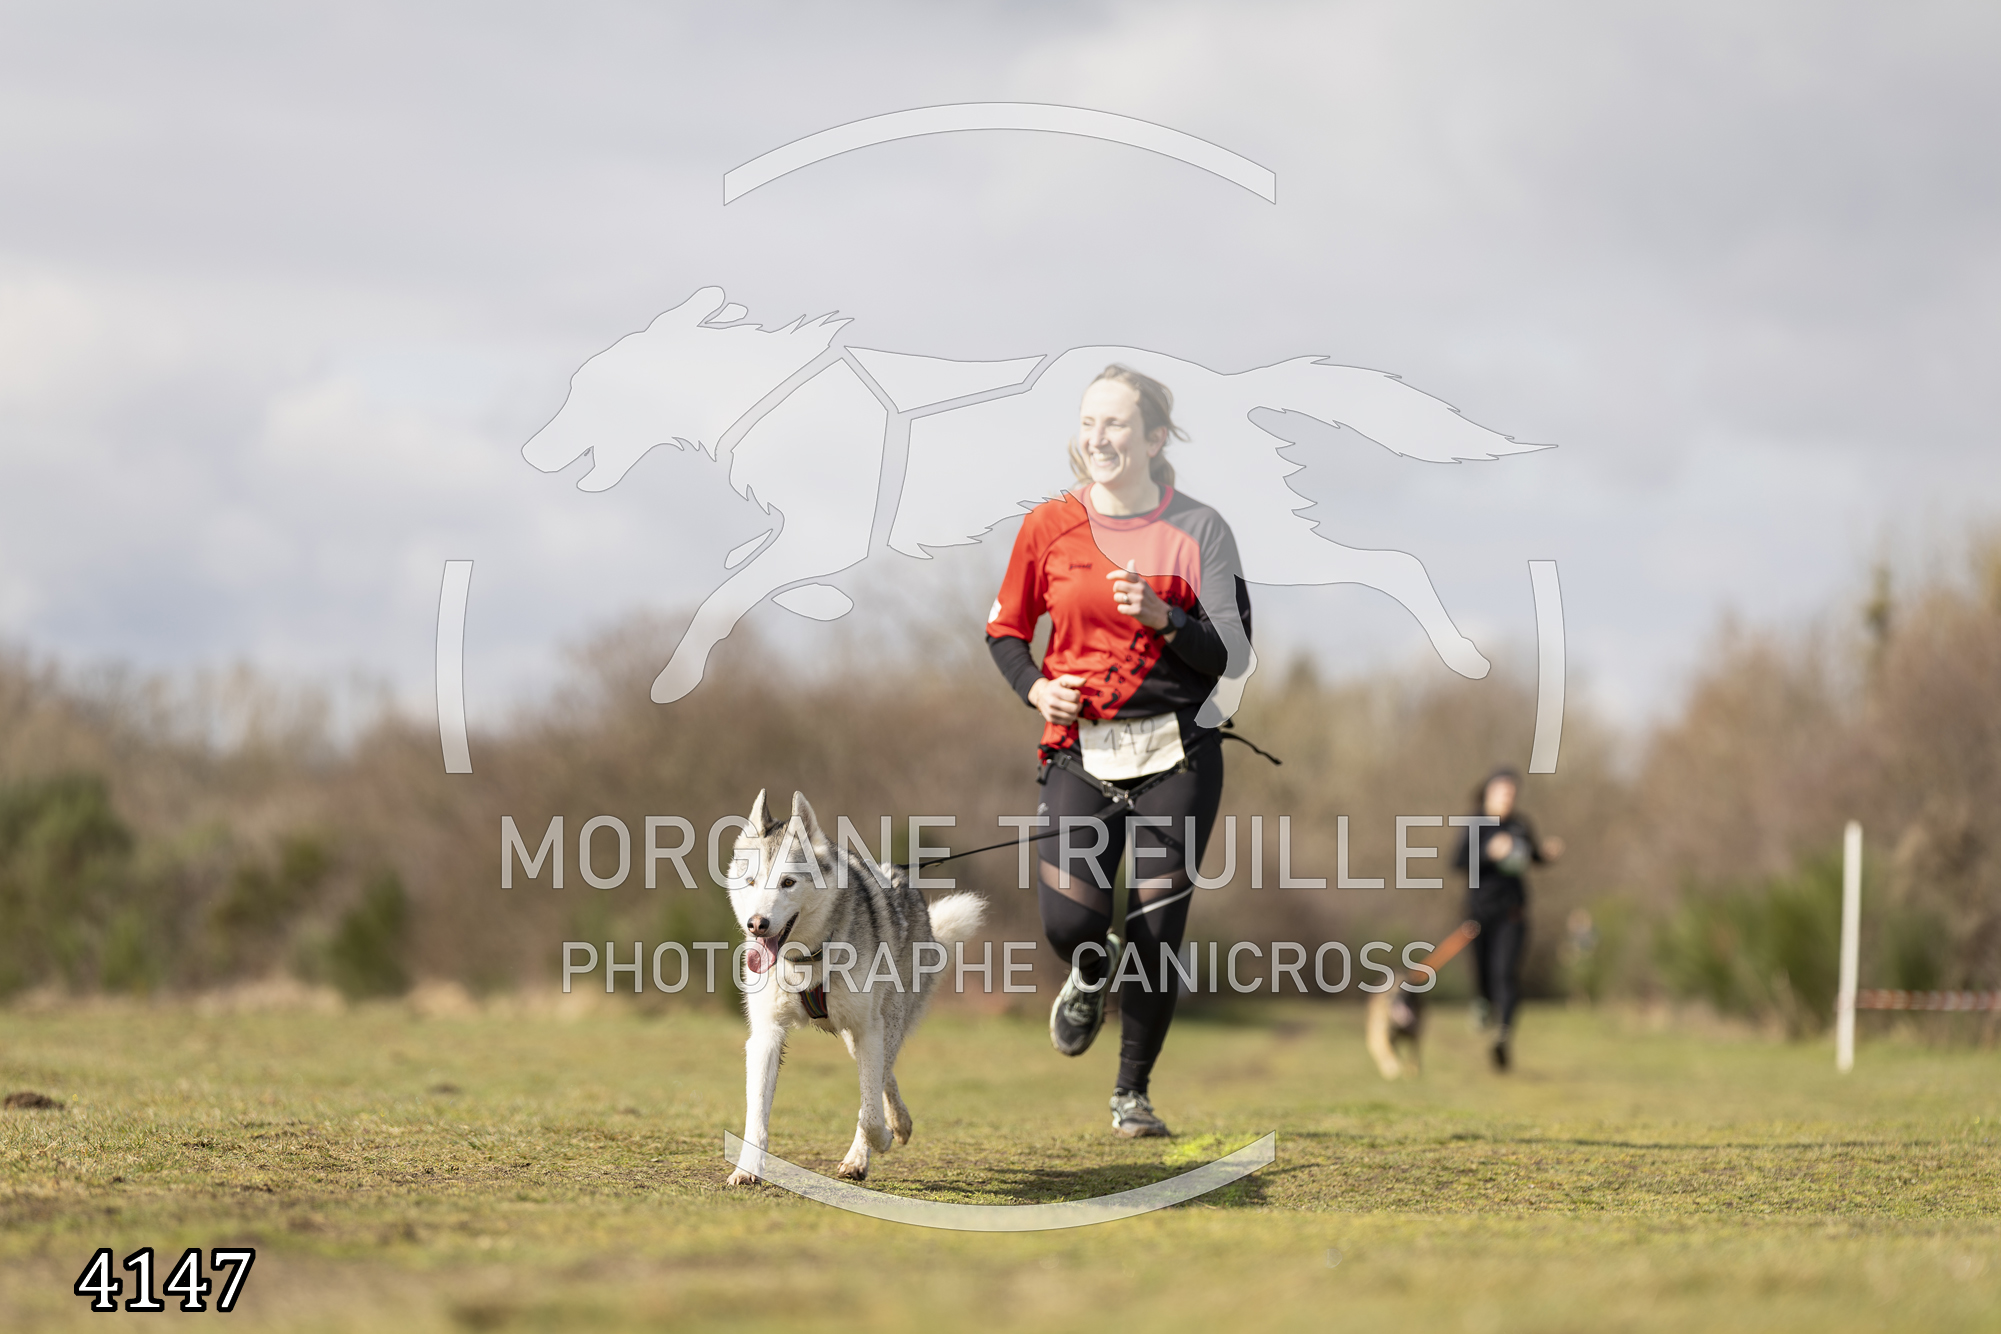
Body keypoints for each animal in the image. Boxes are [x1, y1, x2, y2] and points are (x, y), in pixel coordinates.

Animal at [724, 789, 986, 1185]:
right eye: (751, 882)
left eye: (788, 883)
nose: (757, 924)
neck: (807, 960)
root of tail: (905, 880)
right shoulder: (766, 1033)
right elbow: (756, 1115)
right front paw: (747, 1170)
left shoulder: (867, 1029)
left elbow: (869, 1113)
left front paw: (878, 1142)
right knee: (885, 1076)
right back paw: (900, 1123)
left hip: (886, 1023)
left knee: (880, 1077)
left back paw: (879, 1141)